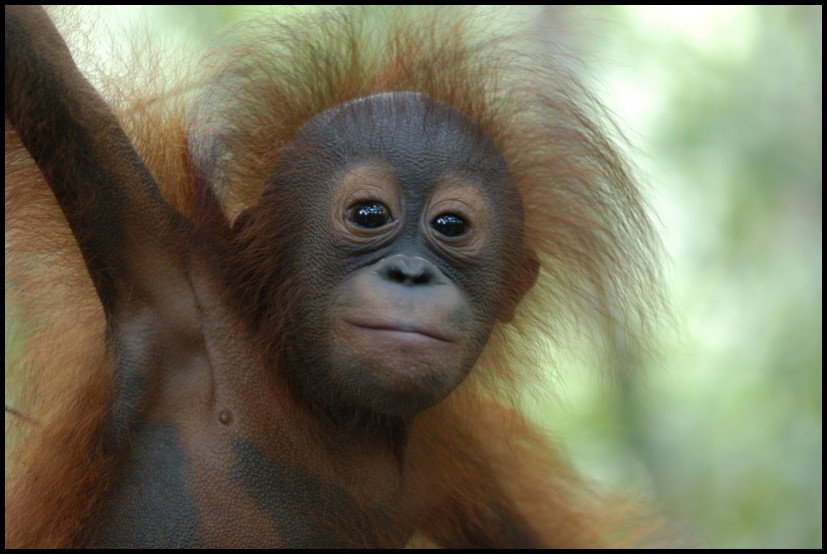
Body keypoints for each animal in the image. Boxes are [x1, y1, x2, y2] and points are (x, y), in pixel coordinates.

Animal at [5, 5, 663, 548]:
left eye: (451, 225)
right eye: (368, 215)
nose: (410, 272)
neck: (318, 403)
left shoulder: (450, 461)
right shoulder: (168, 279)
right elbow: (38, 59)